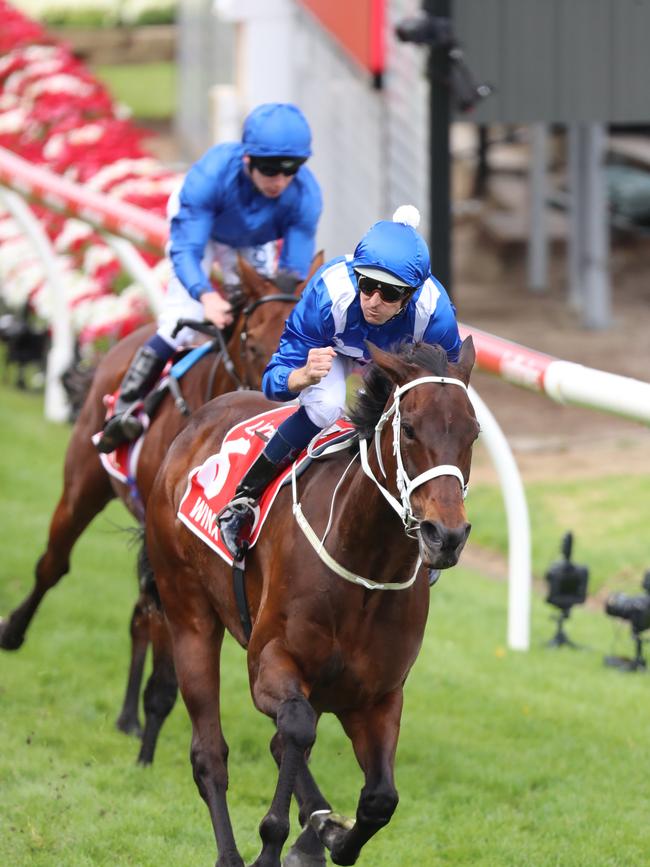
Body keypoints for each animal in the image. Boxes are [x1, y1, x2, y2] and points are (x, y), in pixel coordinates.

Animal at [0, 254, 322, 764]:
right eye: (253, 340)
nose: (283, 412)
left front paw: (148, 718)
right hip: (84, 483)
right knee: (54, 564)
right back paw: (13, 631)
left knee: (140, 613)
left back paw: (129, 716)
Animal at [143, 336, 476, 864]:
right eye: (408, 429)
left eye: (473, 433)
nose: (446, 535)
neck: (365, 569)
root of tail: (197, 423)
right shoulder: (271, 664)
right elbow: (295, 729)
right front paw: (275, 842)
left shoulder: (378, 696)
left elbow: (380, 798)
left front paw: (330, 834)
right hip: (189, 615)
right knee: (210, 754)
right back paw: (232, 853)